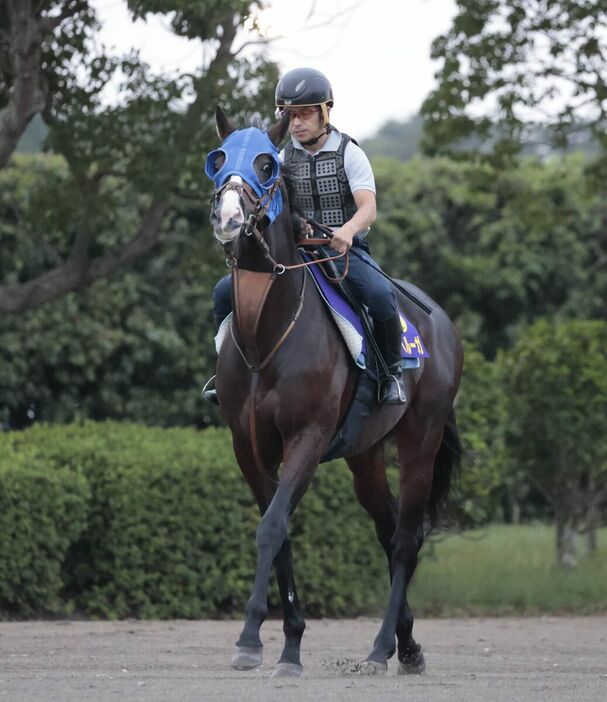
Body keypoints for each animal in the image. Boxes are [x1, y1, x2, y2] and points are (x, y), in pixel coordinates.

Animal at [207, 110, 464, 680]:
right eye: (218, 159)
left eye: (266, 164)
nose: (230, 216)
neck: (266, 338)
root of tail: (440, 323)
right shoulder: (247, 446)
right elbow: (276, 531)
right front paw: (285, 643)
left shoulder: (307, 436)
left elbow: (272, 526)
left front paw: (255, 641)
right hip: (364, 455)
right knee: (387, 529)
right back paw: (404, 646)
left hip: (420, 441)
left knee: (406, 539)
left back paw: (381, 647)